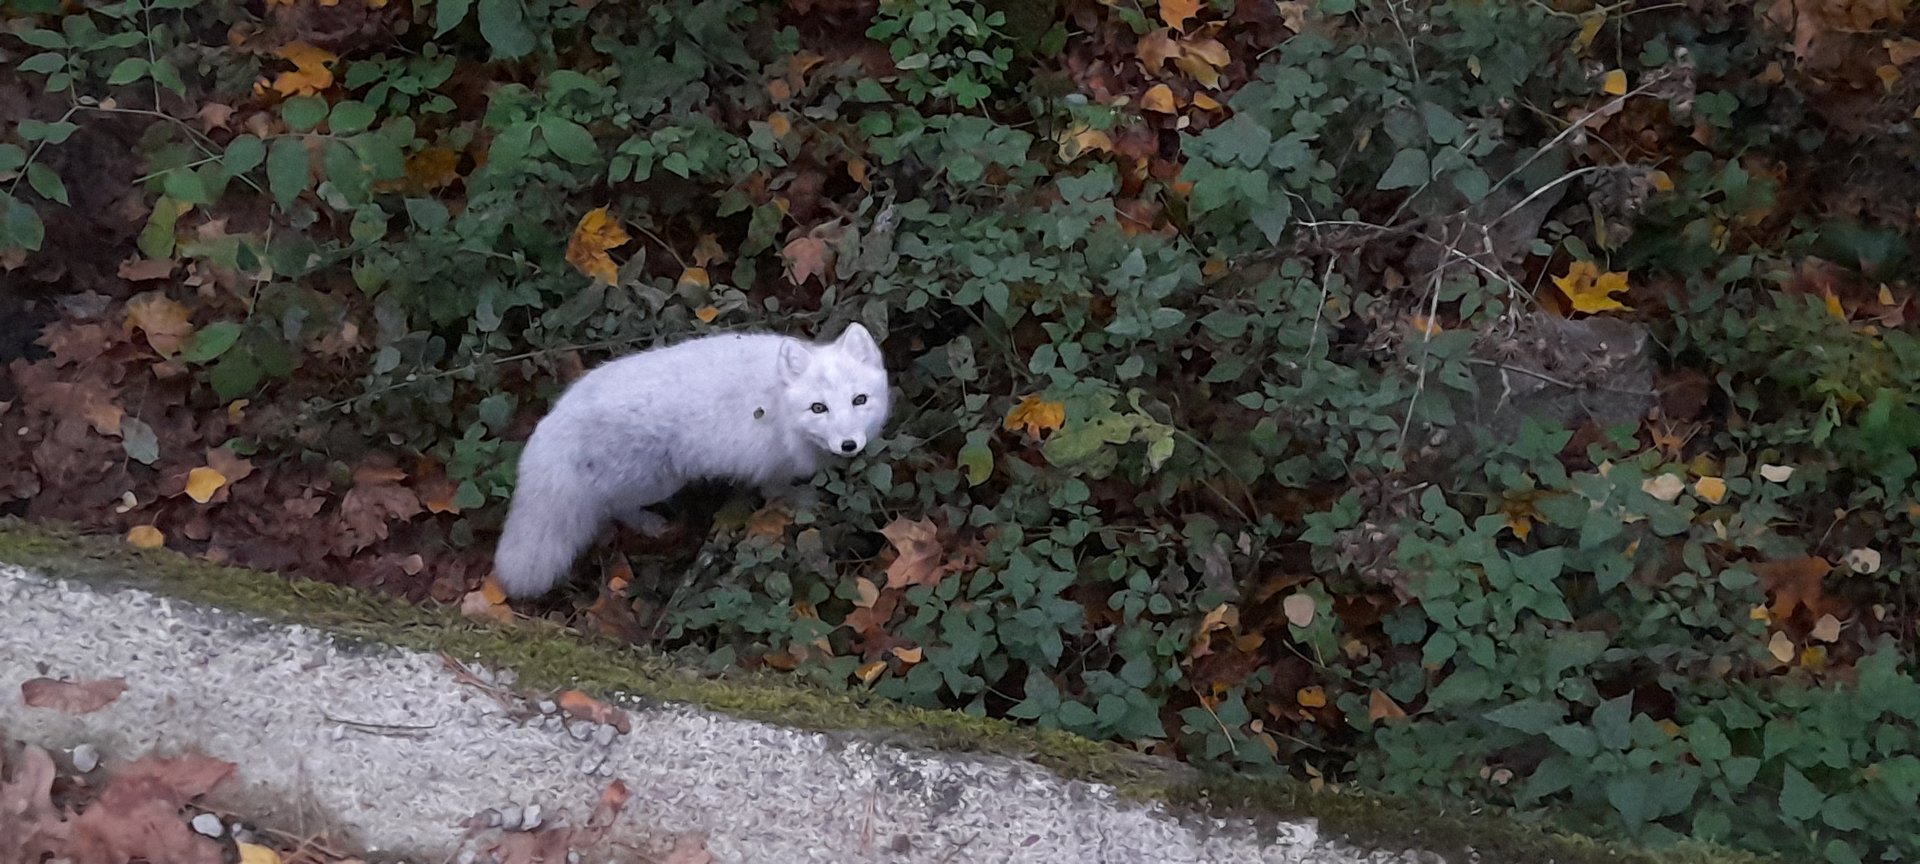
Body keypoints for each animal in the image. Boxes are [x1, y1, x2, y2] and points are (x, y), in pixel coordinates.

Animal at [492, 323, 891, 597]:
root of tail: (558, 417)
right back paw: (651, 525)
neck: (781, 405)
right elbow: (776, 492)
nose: (849, 444)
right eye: (818, 408)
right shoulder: (773, 467)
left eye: (859, 400)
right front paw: (802, 501)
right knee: (614, 506)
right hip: (655, 482)